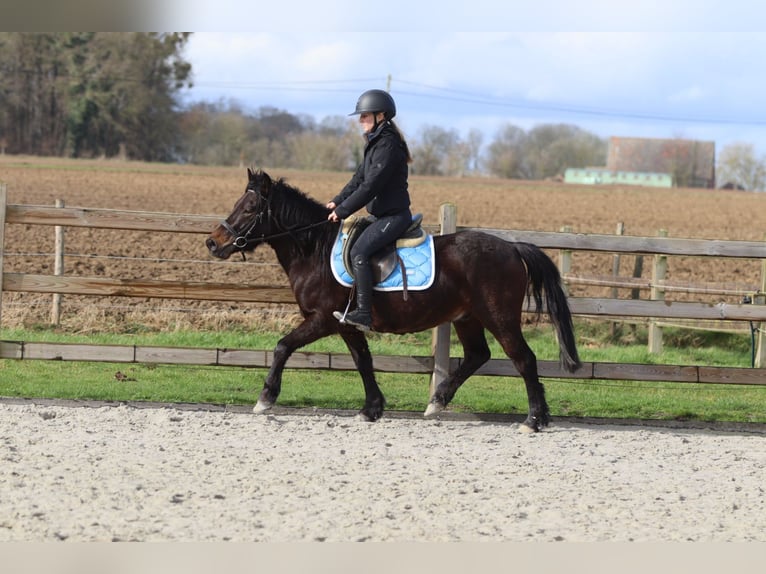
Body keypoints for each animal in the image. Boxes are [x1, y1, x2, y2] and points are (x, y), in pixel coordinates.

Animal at [206, 168, 581, 432]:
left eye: (250, 207)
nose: (213, 243)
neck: (315, 249)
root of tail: (512, 247)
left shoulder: (322, 319)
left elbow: (283, 346)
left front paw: (265, 398)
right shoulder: (346, 324)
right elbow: (363, 361)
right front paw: (371, 408)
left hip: (498, 317)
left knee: (524, 359)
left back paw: (534, 420)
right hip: (468, 318)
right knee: (478, 355)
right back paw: (437, 402)